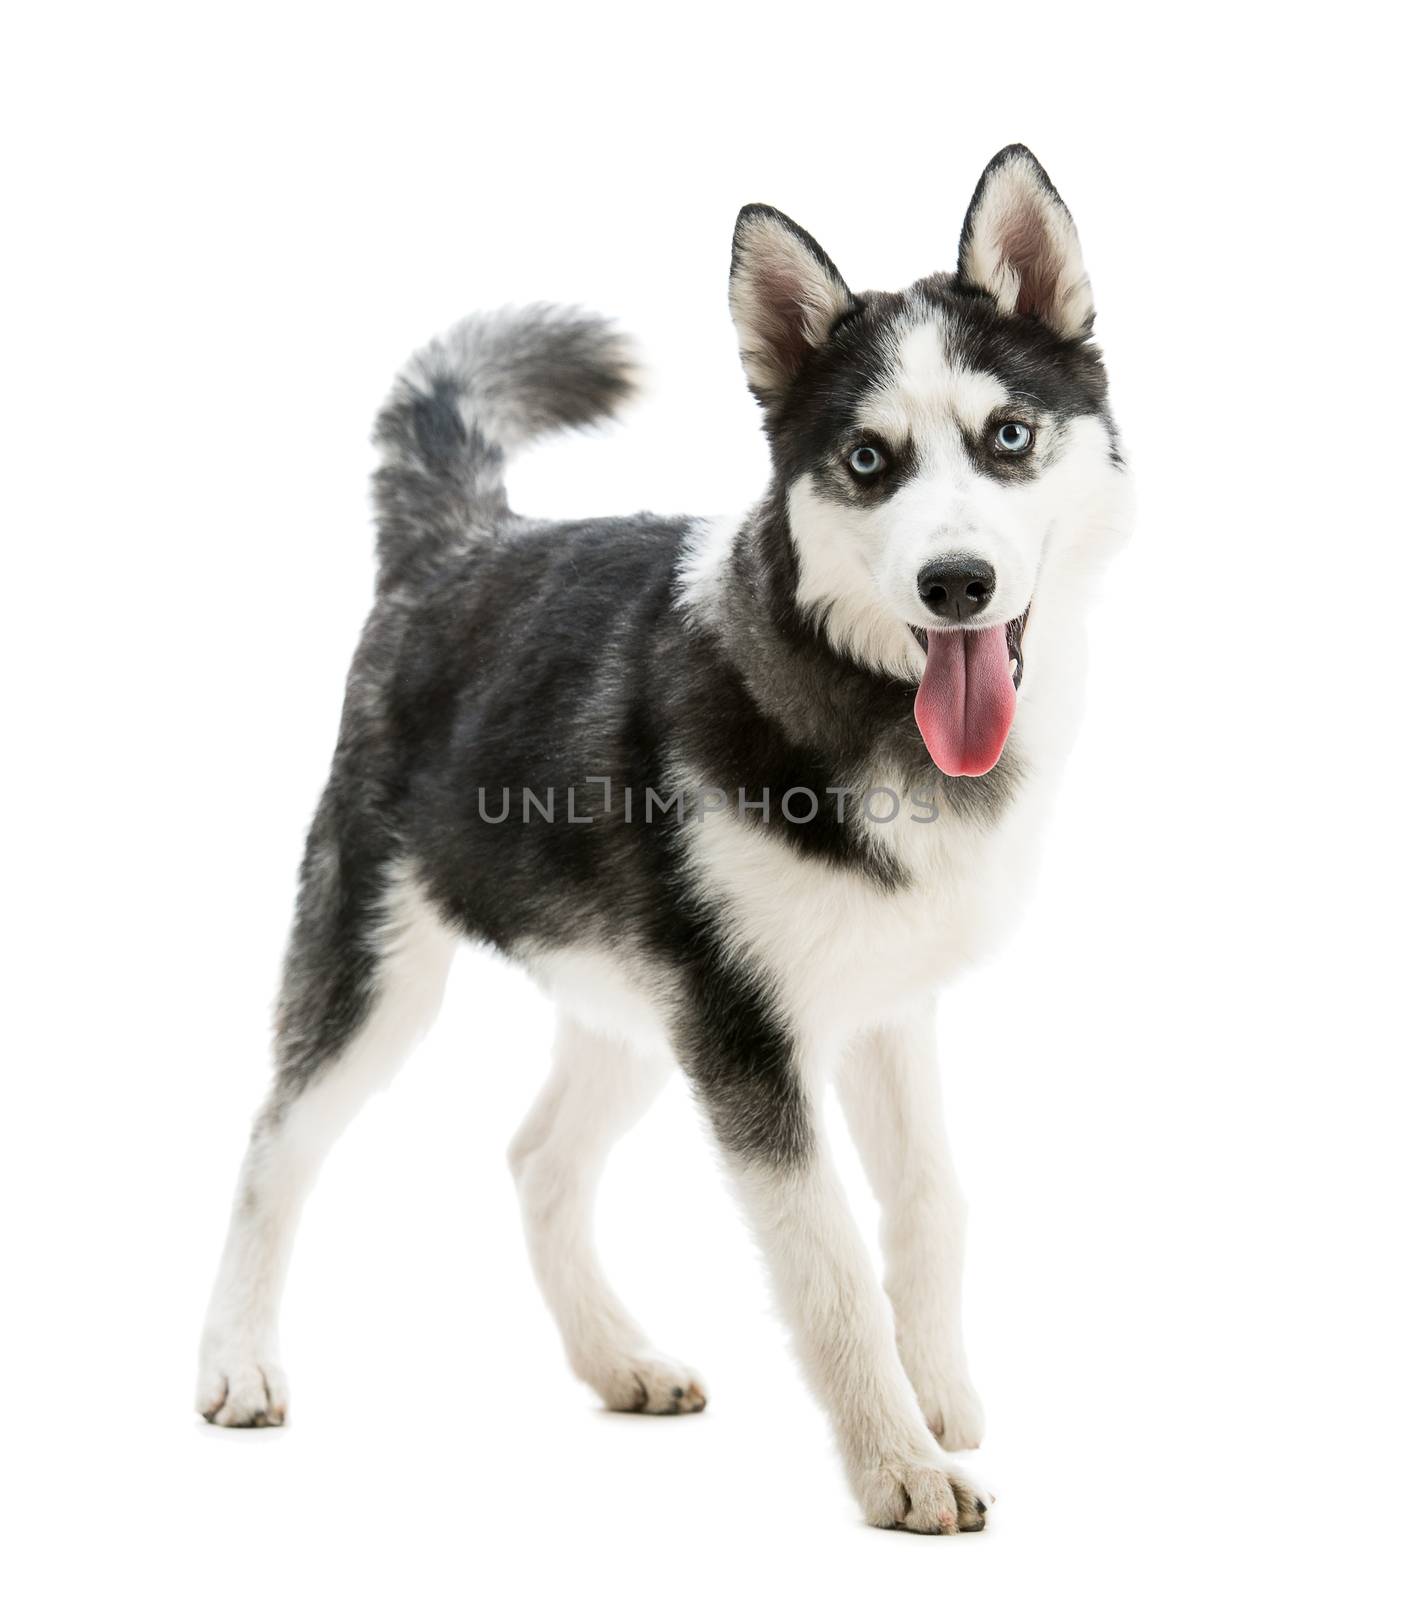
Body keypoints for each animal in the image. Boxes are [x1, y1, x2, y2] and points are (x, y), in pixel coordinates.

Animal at [198, 150, 1126, 1536]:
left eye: (1008, 437)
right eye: (869, 459)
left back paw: (614, 1357)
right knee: (275, 1143)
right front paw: (898, 1463)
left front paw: (940, 1395)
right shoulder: (746, 1041)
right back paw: (238, 1360)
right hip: (380, 969)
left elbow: (929, 1199)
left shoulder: (879, 1009)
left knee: (537, 1157)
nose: (955, 583)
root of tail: (465, 544)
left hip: (637, 1003)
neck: (862, 707)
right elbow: (827, 1257)